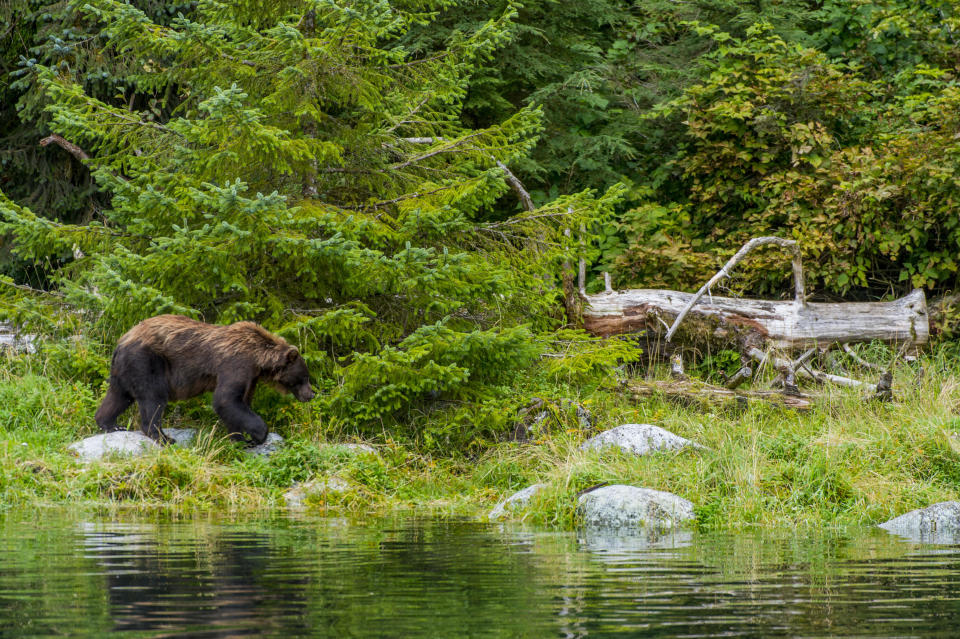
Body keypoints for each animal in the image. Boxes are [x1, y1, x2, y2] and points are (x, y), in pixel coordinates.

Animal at [93, 316, 314, 444]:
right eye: (304, 377)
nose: (311, 394)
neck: (258, 359)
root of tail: (121, 341)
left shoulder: (251, 377)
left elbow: (239, 403)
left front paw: (238, 437)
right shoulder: (236, 364)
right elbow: (225, 399)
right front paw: (258, 435)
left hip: (124, 370)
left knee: (118, 396)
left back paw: (110, 424)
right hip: (146, 362)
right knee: (153, 398)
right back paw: (164, 437)